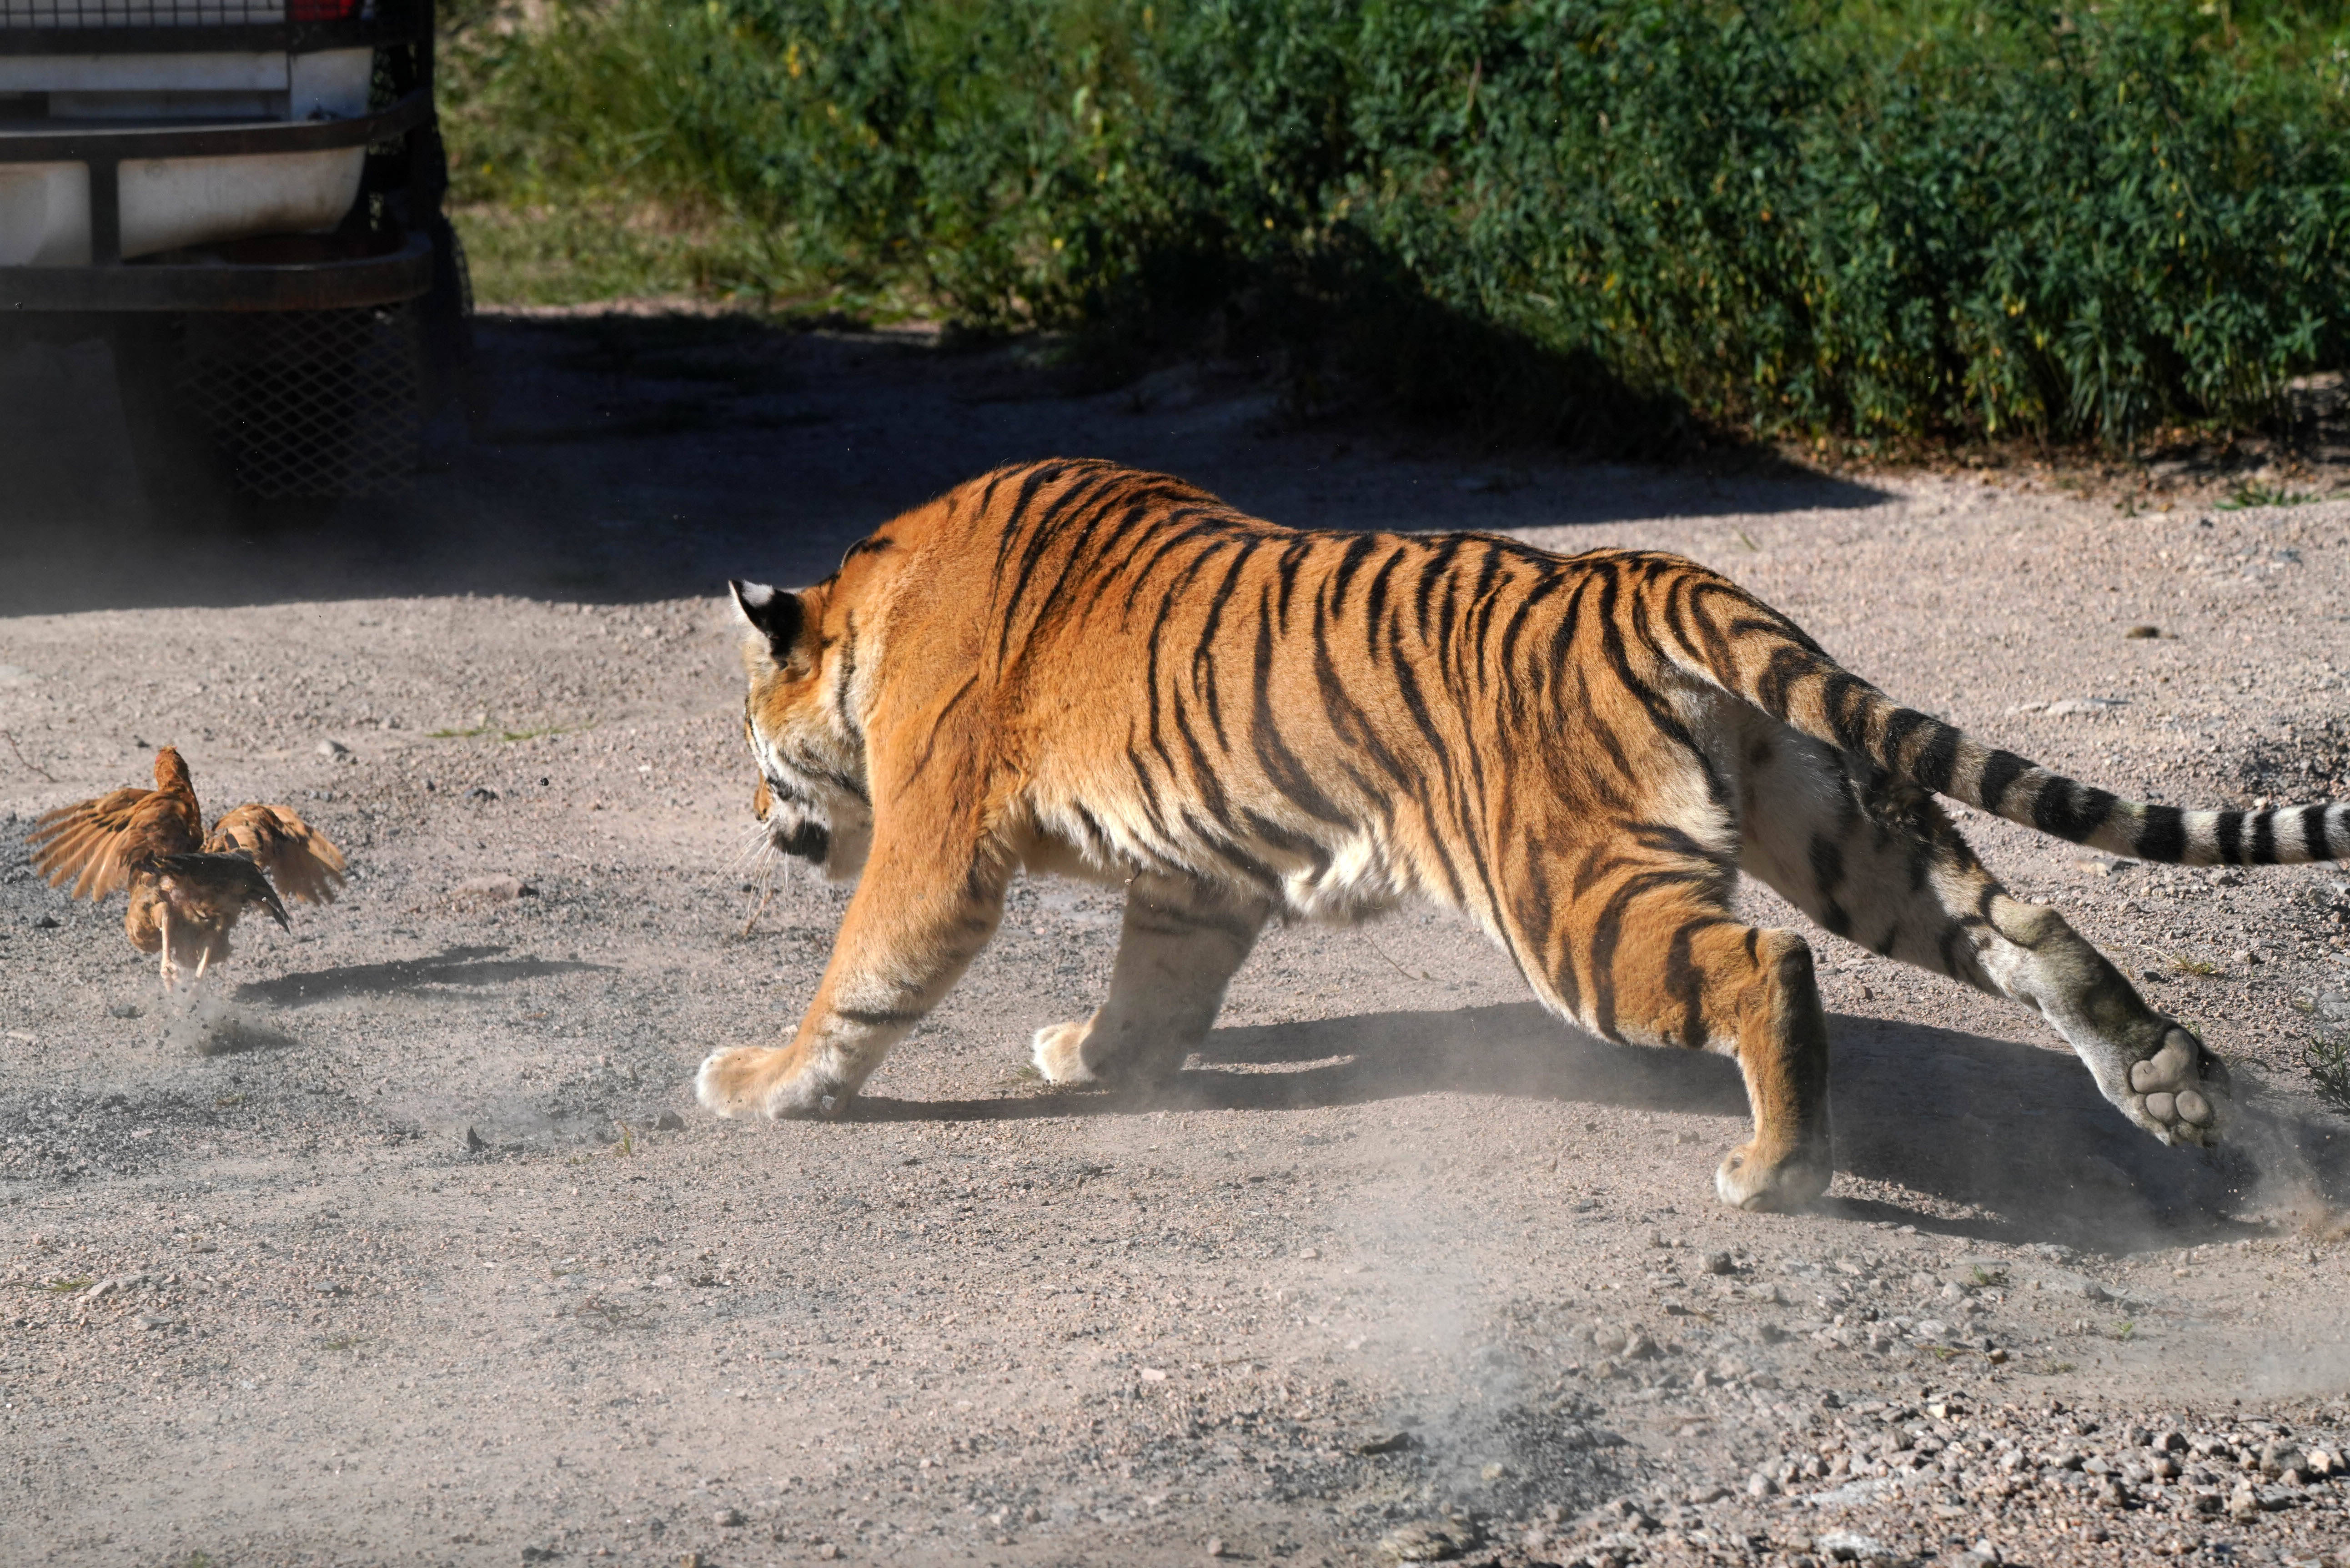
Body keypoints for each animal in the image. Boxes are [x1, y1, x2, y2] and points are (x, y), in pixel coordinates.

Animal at [700, 453, 2350, 1213]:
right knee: (2022, 927)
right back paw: (2161, 1083)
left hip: (1576, 899)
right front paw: (1093, 1060)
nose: (759, 814)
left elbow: (863, 972)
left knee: (1764, 967)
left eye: (753, 750)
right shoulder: (1190, 880)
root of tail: (1664, 573)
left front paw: (765, 1081)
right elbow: (1148, 994)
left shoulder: (937, 842)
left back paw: (1777, 1170)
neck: (870, 605)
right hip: (1845, 826)